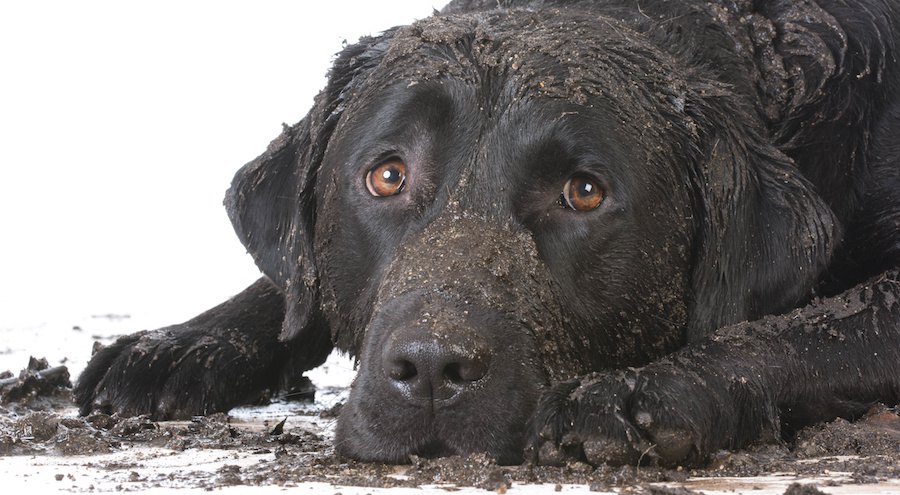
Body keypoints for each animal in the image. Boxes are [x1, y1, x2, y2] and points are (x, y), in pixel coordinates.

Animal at [75, 0, 900, 468]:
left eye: (584, 192)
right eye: (387, 176)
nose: (432, 368)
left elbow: (789, 329)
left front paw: (642, 390)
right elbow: (289, 284)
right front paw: (181, 342)